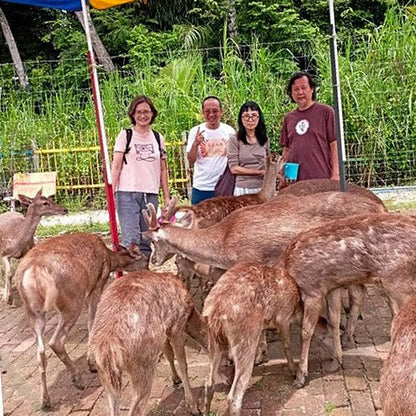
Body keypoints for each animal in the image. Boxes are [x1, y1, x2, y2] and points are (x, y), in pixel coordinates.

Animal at [15, 232, 149, 412]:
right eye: (146, 259)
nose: (148, 271)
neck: (110, 259)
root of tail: (34, 273)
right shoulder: (97, 283)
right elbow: (92, 320)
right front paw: (90, 362)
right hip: (72, 300)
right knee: (56, 341)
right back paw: (78, 379)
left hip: (32, 311)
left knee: (40, 352)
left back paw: (45, 400)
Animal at [90, 270, 208, 416]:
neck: (189, 312)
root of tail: (108, 350)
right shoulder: (176, 327)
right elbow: (182, 363)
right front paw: (193, 406)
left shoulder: (164, 332)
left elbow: (169, 354)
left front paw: (176, 379)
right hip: (143, 365)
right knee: (135, 409)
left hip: (106, 376)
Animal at [270, 213, 416, 388]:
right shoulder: (332, 286)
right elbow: (333, 321)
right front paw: (336, 361)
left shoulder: (313, 290)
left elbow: (306, 331)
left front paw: (300, 375)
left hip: (400, 281)